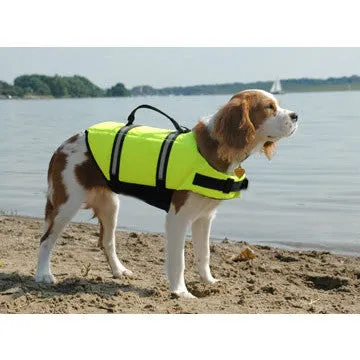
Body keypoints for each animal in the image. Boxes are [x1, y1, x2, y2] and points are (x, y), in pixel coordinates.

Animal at [35, 89, 298, 298]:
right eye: (269, 107)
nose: (296, 116)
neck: (212, 151)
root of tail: (63, 145)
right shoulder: (177, 217)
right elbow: (178, 260)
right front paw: (181, 292)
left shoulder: (204, 217)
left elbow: (204, 255)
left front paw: (209, 282)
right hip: (66, 204)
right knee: (46, 239)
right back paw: (43, 275)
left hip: (110, 205)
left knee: (107, 241)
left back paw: (119, 271)